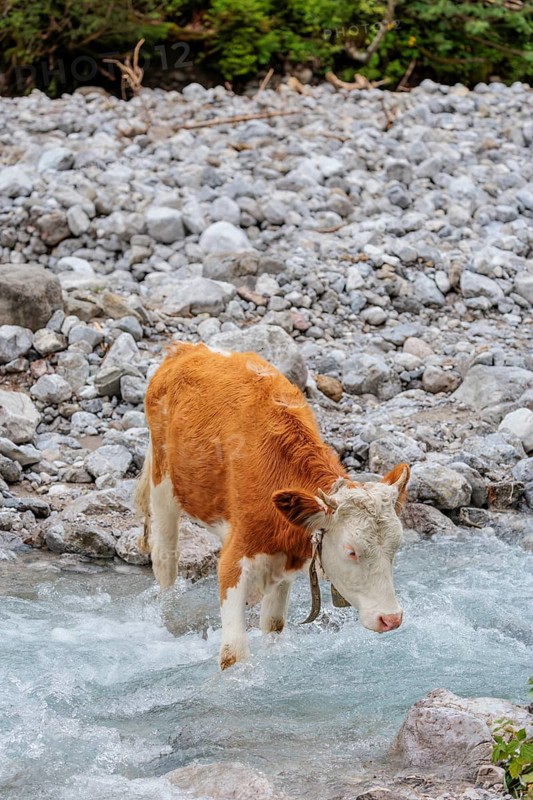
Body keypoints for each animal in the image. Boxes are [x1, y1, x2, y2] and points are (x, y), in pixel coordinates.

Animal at [135, 342, 410, 670]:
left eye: (396, 548)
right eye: (351, 551)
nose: (391, 618)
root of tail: (186, 348)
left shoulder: (284, 565)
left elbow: (274, 628)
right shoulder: (234, 560)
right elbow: (233, 653)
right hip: (163, 483)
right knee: (165, 559)